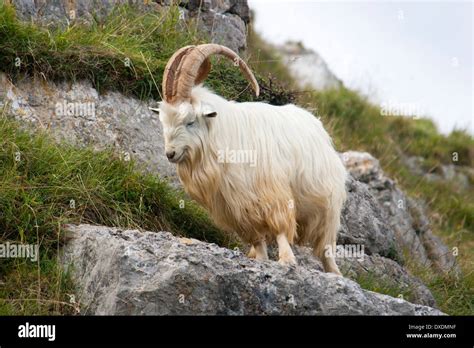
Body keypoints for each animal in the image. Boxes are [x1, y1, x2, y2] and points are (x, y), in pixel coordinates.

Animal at [152, 44, 348, 274]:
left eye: (190, 121)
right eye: (163, 121)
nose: (170, 154)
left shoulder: (273, 192)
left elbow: (281, 227)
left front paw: (286, 259)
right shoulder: (234, 207)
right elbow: (255, 237)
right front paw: (261, 259)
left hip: (327, 206)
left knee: (326, 245)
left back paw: (334, 272)